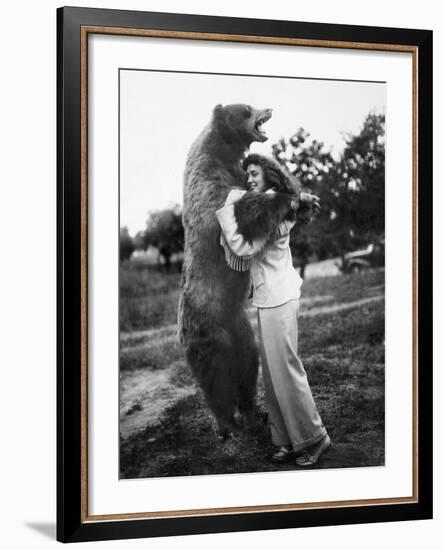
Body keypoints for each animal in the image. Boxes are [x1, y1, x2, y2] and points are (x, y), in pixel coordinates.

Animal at [179, 103, 300, 440]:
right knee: (217, 381)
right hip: (210, 331)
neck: (222, 150)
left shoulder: (234, 172)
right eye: (246, 109)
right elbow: (238, 210)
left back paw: (253, 413)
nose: (267, 108)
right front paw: (286, 196)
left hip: (241, 328)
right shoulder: (209, 188)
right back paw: (227, 425)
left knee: (248, 364)